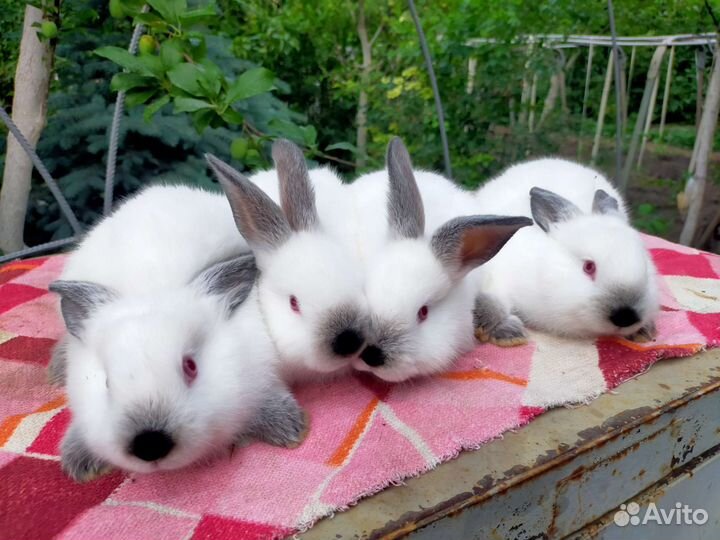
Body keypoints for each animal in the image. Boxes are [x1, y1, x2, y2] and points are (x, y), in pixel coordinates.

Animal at [470, 158, 660, 341]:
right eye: (588, 267)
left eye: (646, 268)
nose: (626, 317)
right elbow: (492, 302)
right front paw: (506, 333)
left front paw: (642, 332)